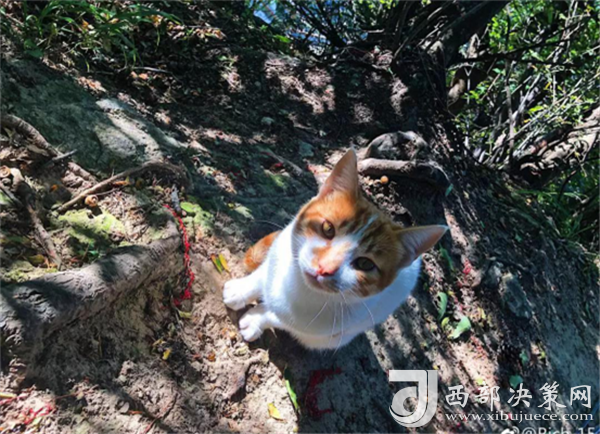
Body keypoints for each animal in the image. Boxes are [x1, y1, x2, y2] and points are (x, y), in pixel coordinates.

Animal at [223, 149, 447, 350]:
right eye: (327, 229)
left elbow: (275, 317)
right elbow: (260, 277)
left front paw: (255, 320)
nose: (324, 268)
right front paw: (240, 290)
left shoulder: (315, 329)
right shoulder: (279, 250)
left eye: (365, 263)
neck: (297, 286)